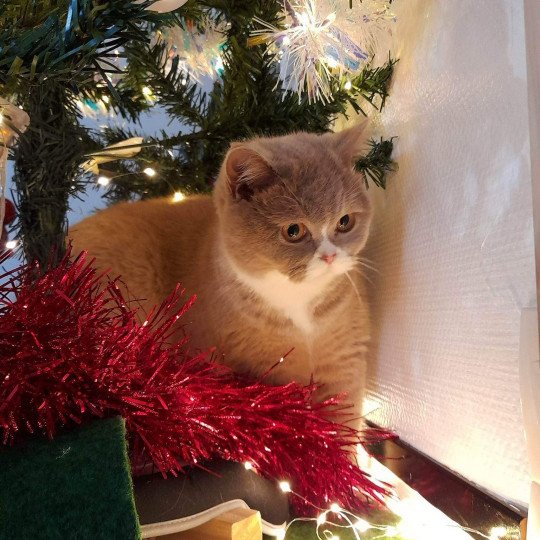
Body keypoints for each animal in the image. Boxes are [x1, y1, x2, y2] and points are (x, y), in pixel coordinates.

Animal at [69, 123, 374, 422]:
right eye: (293, 230)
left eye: (344, 222)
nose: (329, 256)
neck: (297, 302)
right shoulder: (267, 367)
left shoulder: (345, 365)